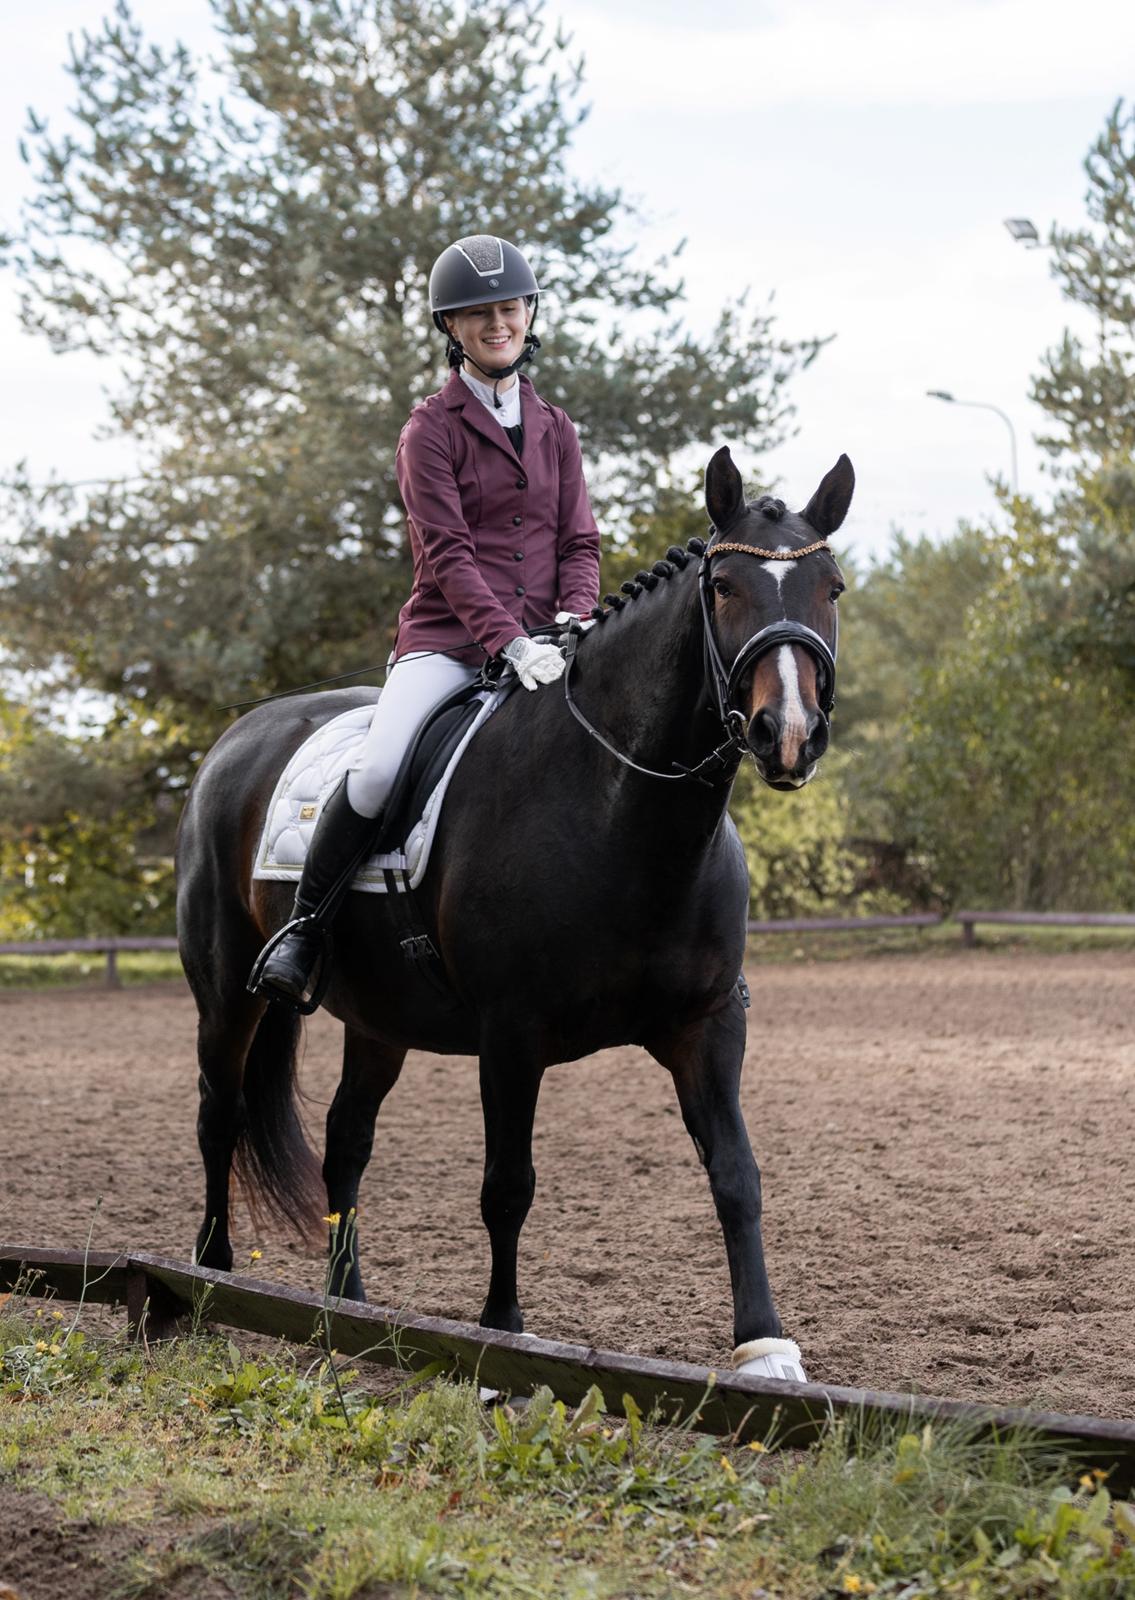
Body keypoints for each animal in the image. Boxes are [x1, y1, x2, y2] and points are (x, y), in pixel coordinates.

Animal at [176, 448, 851, 1376]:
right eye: (722, 587)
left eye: (832, 586)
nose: (787, 733)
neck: (621, 808)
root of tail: (238, 738)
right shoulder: (510, 1033)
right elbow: (508, 1187)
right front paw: (501, 1335)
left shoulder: (708, 1022)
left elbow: (735, 1173)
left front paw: (764, 1346)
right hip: (225, 995)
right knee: (219, 1116)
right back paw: (209, 1278)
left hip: (379, 1019)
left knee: (347, 1140)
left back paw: (346, 1302)